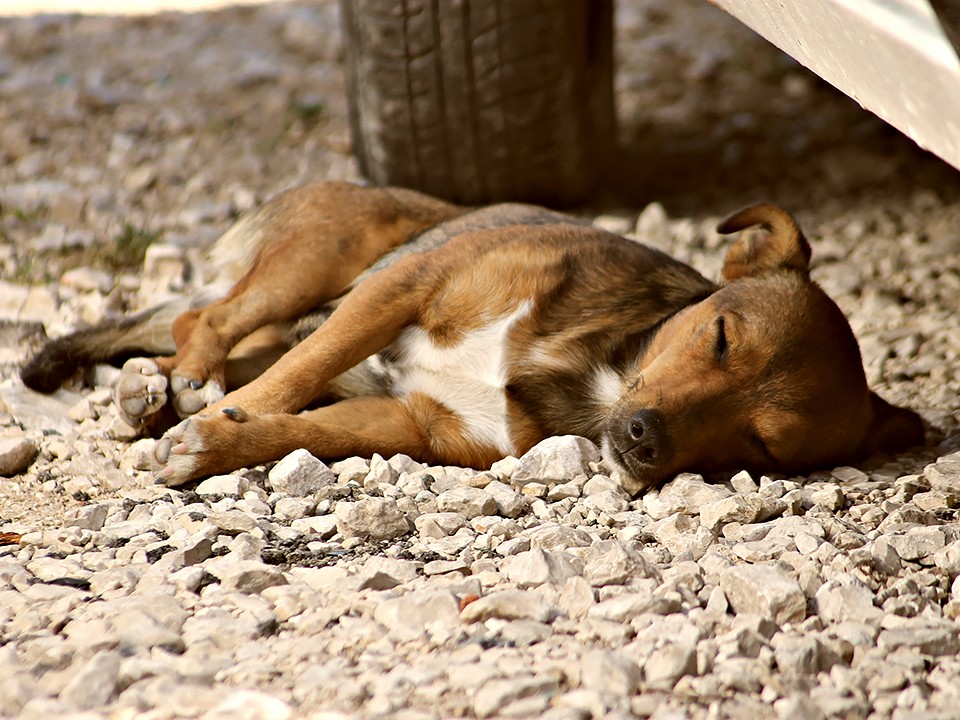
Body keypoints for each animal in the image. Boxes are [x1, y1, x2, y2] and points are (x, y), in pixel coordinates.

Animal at [20, 181, 924, 496]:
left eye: (764, 446)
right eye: (722, 337)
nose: (642, 439)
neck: (598, 368)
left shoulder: (418, 424)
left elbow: (302, 429)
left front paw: (215, 443)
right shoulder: (404, 287)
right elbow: (297, 379)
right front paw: (216, 422)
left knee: (206, 333)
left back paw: (154, 390)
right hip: (329, 258)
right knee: (204, 321)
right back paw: (177, 384)